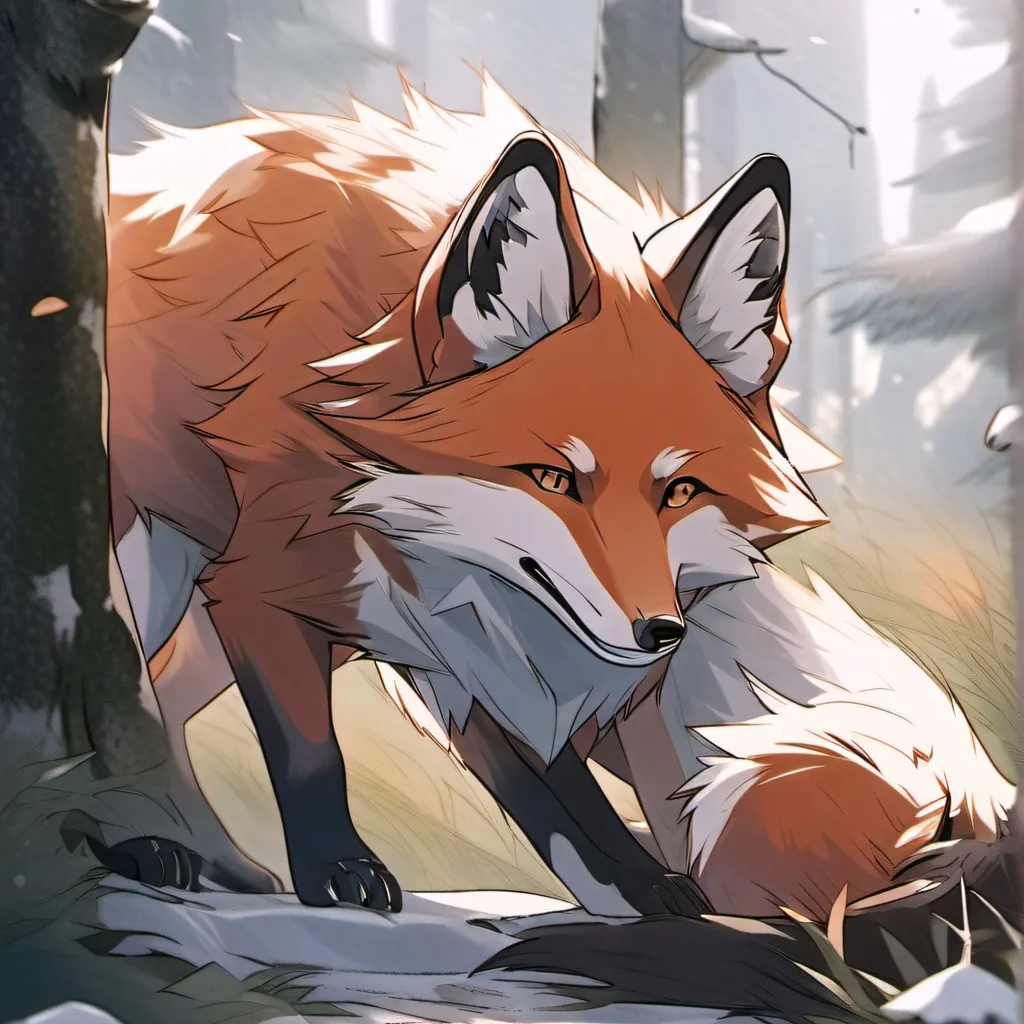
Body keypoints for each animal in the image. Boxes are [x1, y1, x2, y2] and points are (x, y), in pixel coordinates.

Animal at [101, 75, 1013, 920]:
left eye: (680, 489)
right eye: (553, 479)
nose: (660, 632)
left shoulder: (467, 640)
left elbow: (562, 808)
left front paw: (647, 892)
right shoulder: (260, 582)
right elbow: (308, 749)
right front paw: (338, 870)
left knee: (162, 712)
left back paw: (208, 858)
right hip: (150, 562)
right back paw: (141, 842)